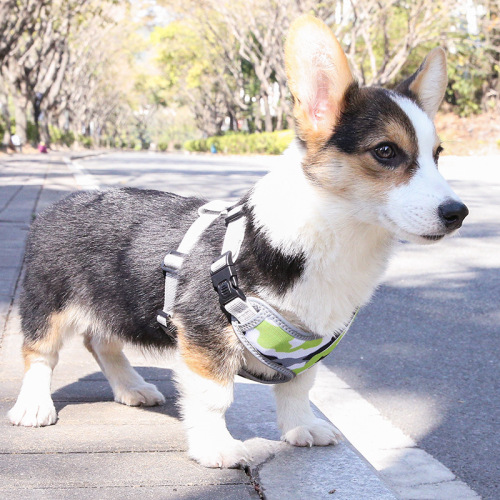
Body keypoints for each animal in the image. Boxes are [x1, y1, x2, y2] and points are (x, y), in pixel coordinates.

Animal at [6, 16, 468, 468]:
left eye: (438, 155)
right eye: (386, 151)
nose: (458, 213)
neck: (337, 235)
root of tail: (61, 203)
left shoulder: (306, 346)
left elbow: (299, 388)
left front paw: (301, 428)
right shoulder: (204, 337)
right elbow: (214, 399)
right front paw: (218, 449)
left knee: (101, 340)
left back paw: (131, 387)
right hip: (48, 302)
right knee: (40, 352)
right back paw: (34, 406)